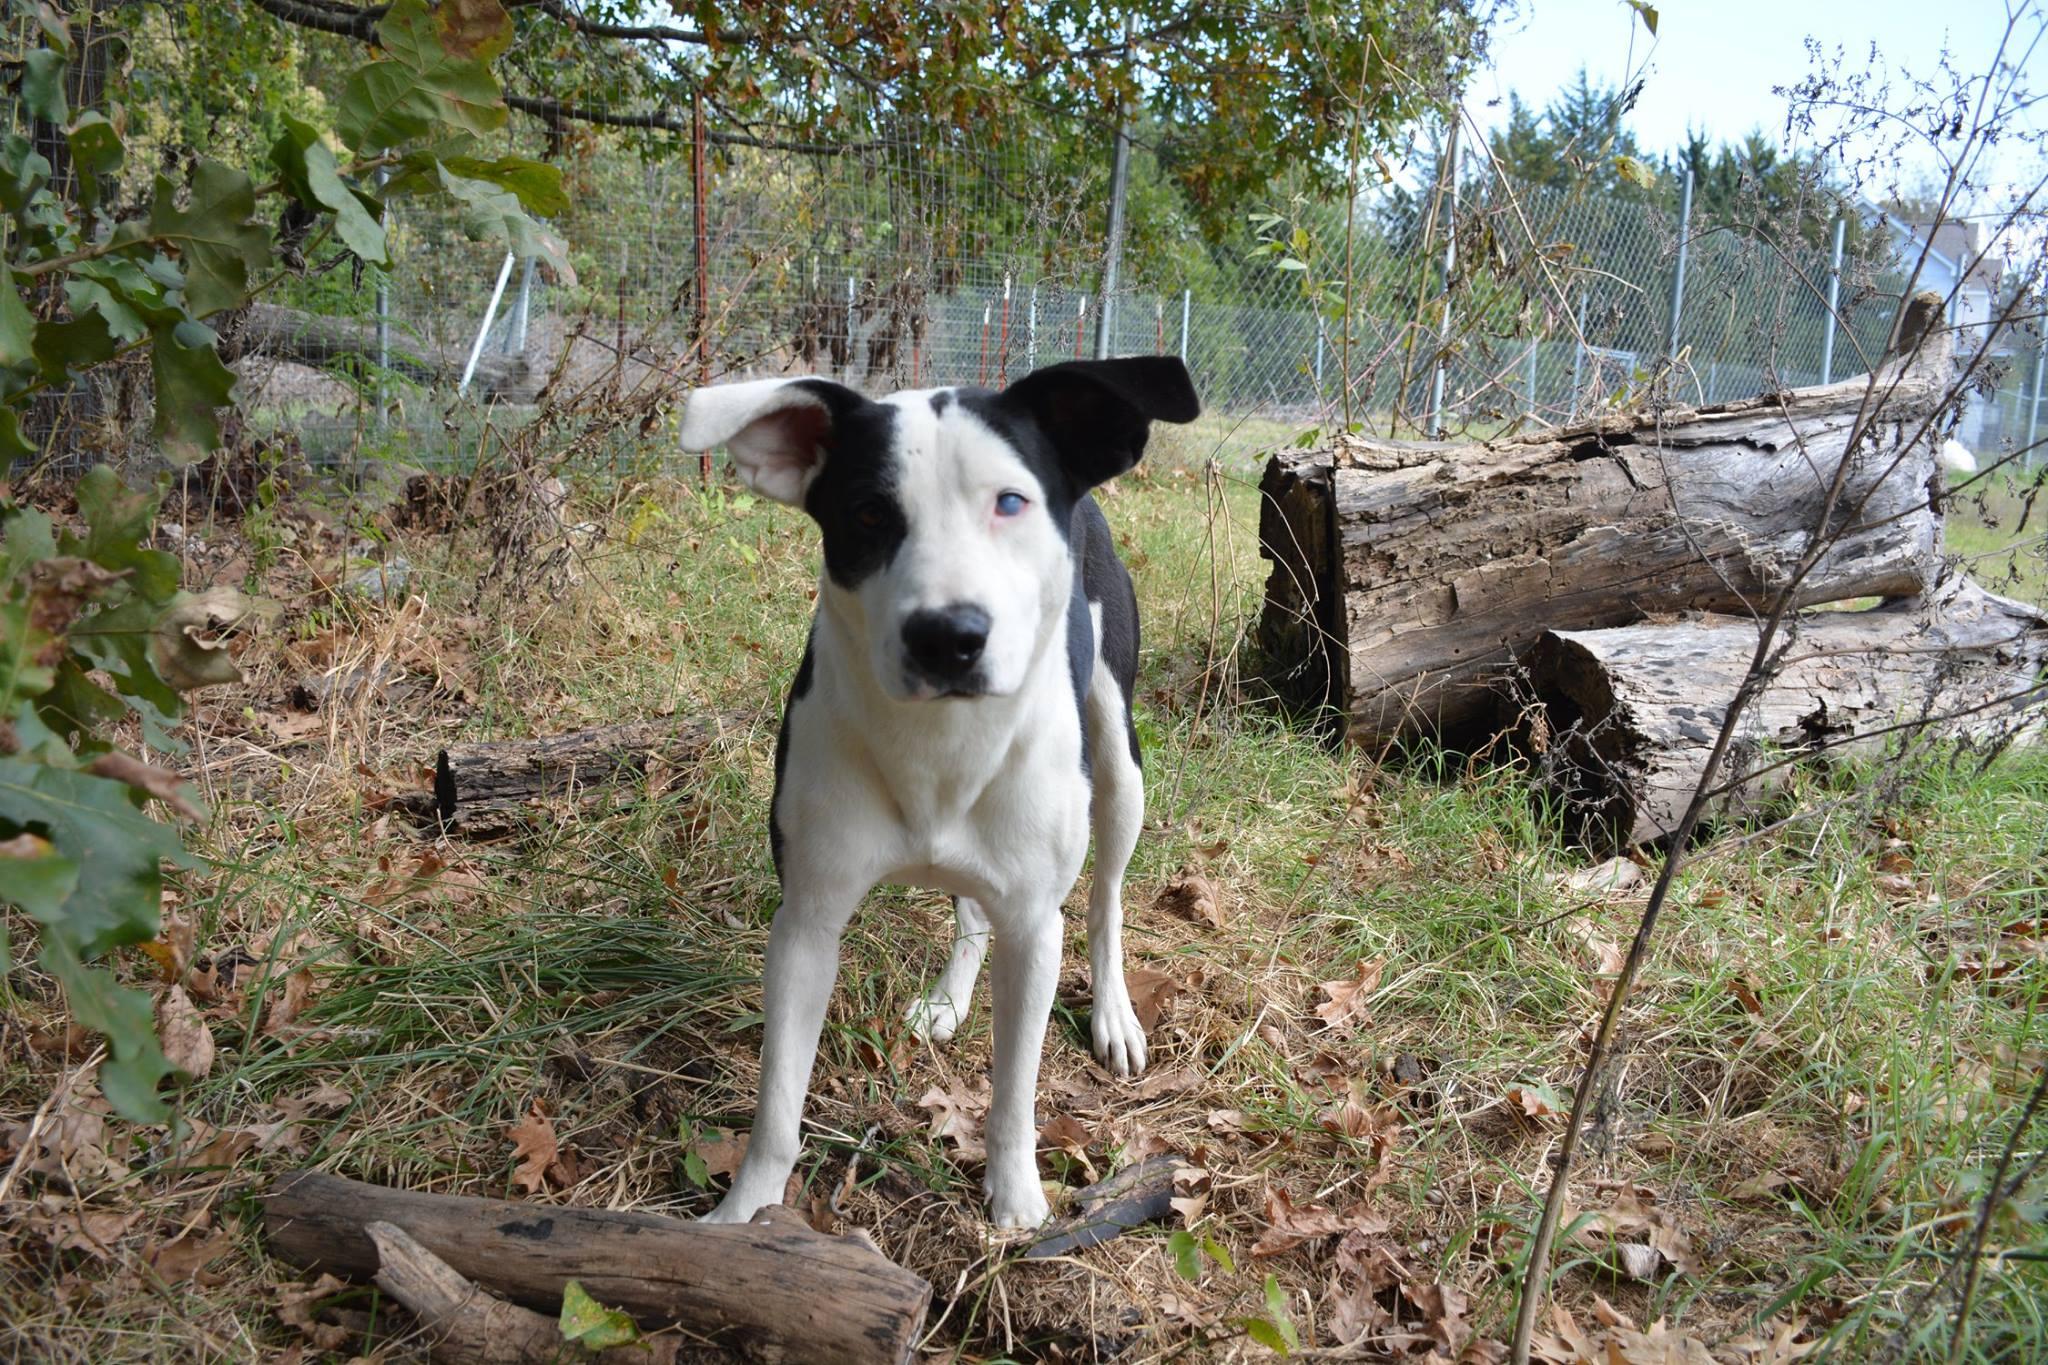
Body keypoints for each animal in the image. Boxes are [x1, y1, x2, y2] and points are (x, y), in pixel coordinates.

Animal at [679, 356, 1196, 1227]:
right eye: (868, 512)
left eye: (1011, 502)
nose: (947, 636)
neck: (937, 739)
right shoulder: (806, 922)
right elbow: (777, 1101)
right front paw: (747, 1212)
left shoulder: (1036, 927)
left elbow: (1016, 1089)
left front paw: (1016, 1199)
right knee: (971, 912)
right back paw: (951, 1000)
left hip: (1120, 766)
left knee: (1106, 899)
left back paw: (1113, 1014)